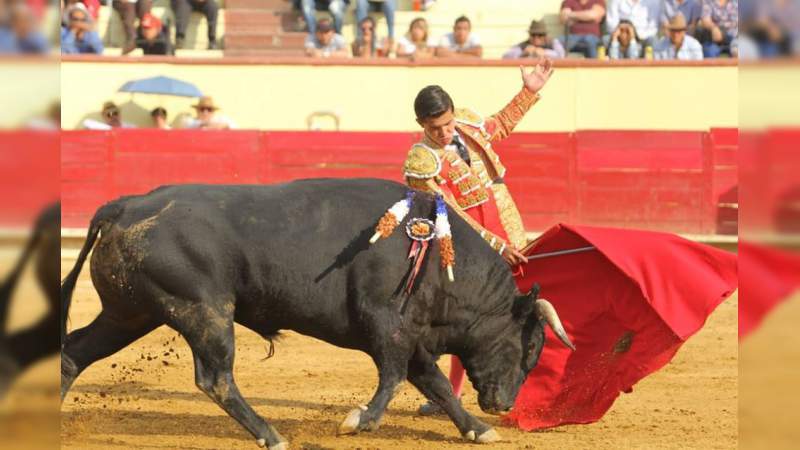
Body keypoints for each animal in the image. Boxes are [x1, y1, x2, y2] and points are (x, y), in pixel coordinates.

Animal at [62, 178, 576, 448]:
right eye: (530, 346)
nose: (504, 404)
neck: (436, 256)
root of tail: (124, 206)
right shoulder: (386, 324)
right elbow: (393, 378)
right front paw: (359, 421)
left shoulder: (411, 335)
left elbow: (434, 384)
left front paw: (477, 429)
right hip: (205, 312)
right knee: (216, 378)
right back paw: (270, 434)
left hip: (130, 314)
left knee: (73, 353)